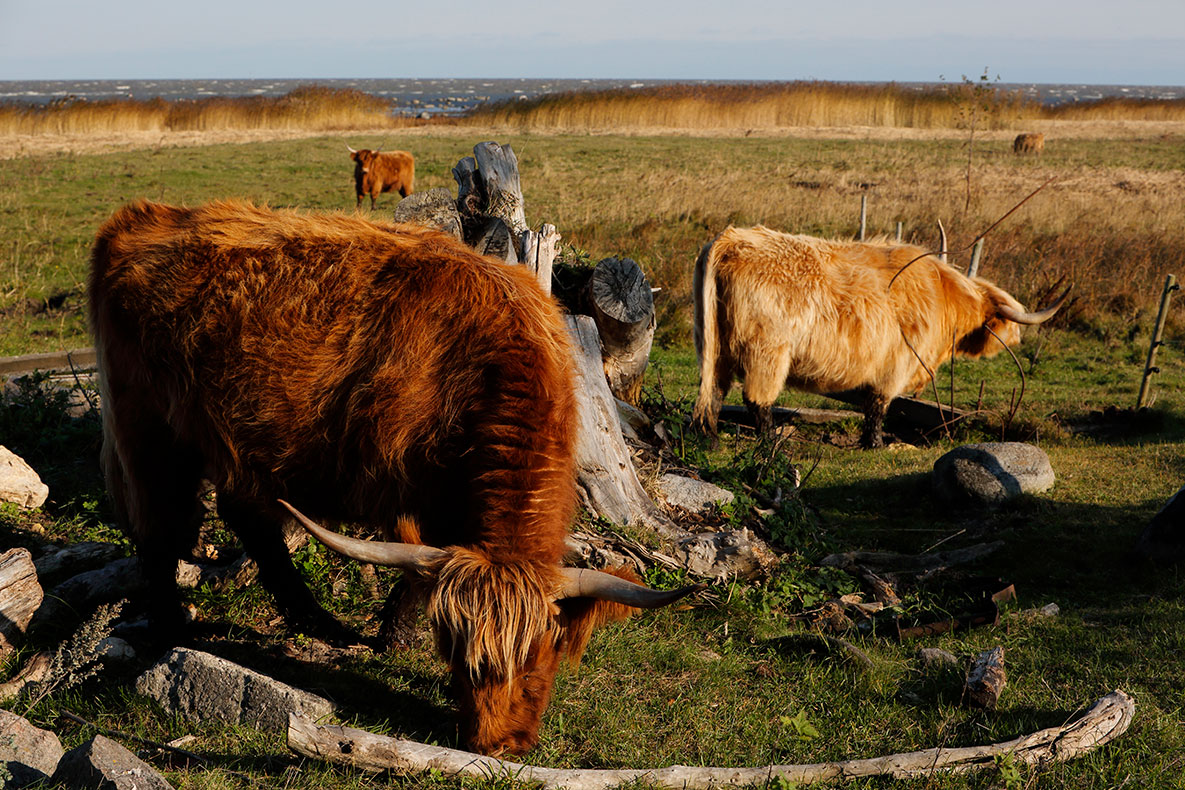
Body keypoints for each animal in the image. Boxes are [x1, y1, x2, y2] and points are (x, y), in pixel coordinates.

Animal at [94, 197, 701, 753]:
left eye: (541, 655)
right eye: (463, 658)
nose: (499, 746)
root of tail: (141, 215)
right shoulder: (406, 491)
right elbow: (414, 574)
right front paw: (394, 639)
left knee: (247, 518)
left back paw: (320, 624)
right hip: (146, 427)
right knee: (159, 530)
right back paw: (176, 628)